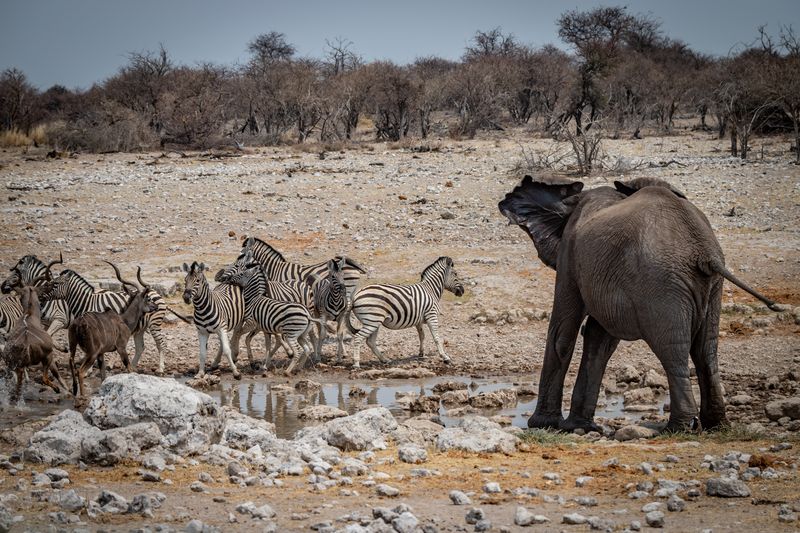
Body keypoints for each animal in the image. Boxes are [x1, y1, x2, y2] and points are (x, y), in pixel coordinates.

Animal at [39, 264, 170, 372]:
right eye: (52, 282)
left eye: (55, 283)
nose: (41, 296)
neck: (86, 302)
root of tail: (158, 294)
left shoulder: (60, 320)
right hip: (140, 330)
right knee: (140, 347)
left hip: (154, 326)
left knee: (161, 344)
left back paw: (160, 369)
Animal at [500, 175, 780, 432]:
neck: (573, 200)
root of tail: (704, 252)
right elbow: (600, 338)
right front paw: (579, 426)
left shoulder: (570, 253)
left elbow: (564, 333)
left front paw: (544, 424)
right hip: (708, 287)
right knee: (705, 350)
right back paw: (715, 425)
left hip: (661, 284)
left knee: (673, 350)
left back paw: (677, 427)